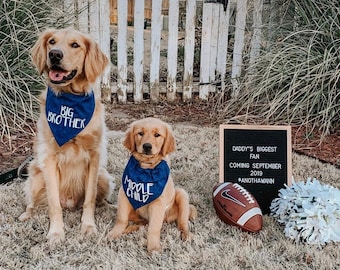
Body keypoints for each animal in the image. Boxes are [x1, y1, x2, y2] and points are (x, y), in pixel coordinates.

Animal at [19, 28, 113, 245]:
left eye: (75, 45)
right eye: (52, 42)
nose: (54, 54)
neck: (71, 102)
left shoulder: (94, 157)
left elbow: (90, 200)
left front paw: (88, 227)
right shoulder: (49, 159)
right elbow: (54, 204)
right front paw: (56, 233)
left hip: (103, 177)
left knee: (98, 199)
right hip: (36, 176)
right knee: (33, 203)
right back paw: (26, 214)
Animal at [107, 117, 198, 252]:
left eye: (157, 135)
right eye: (140, 133)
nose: (147, 146)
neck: (146, 169)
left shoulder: (158, 204)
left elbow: (154, 227)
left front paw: (153, 247)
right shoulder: (124, 194)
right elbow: (121, 219)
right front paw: (114, 233)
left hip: (181, 194)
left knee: (182, 223)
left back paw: (186, 235)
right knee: (143, 222)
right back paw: (130, 229)